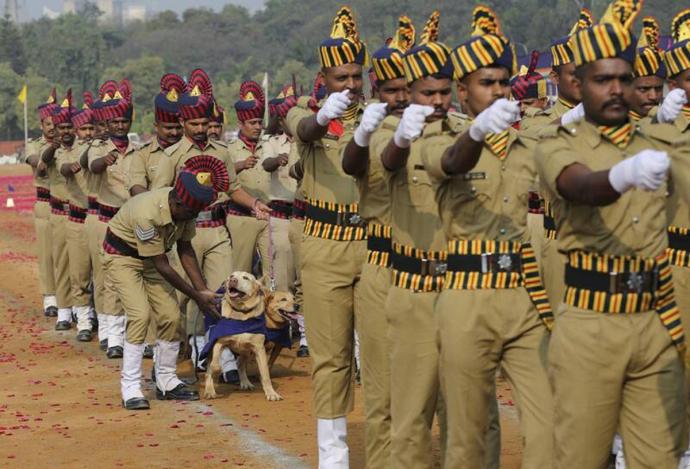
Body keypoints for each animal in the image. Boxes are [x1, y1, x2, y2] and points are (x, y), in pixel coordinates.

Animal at [203, 272, 280, 400]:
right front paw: (217, 370)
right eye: (231, 275)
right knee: (209, 370)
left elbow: (265, 374)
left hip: (246, 351)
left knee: (240, 364)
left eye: (246, 278)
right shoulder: (218, 342)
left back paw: (245, 382)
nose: (232, 280)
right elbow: (214, 364)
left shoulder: (259, 349)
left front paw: (271, 393)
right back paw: (209, 390)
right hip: (211, 349)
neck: (241, 313)